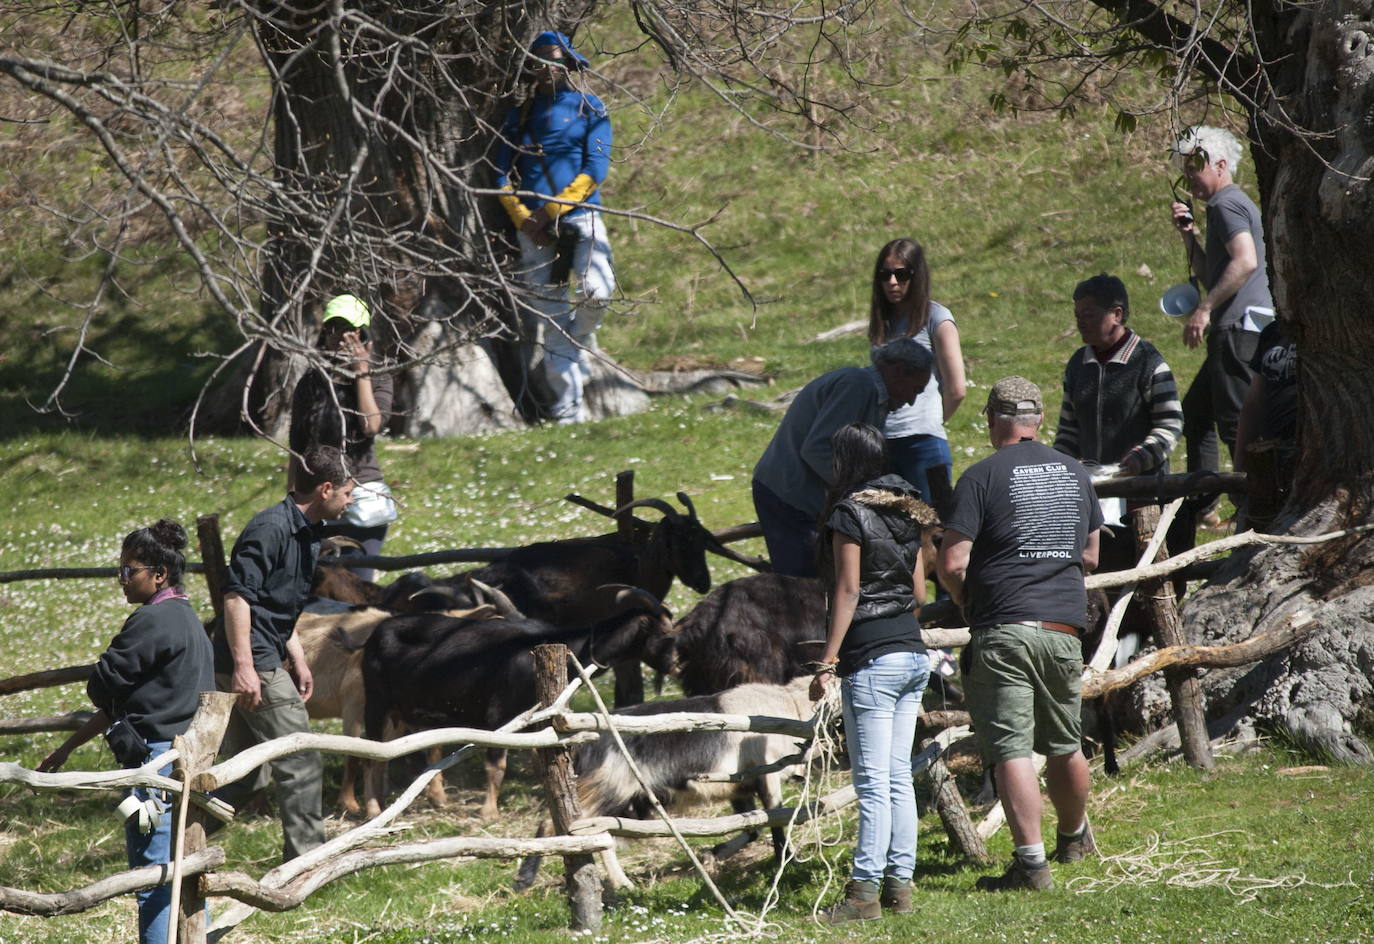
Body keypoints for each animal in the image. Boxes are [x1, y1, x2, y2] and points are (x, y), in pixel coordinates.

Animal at [357, 590, 673, 818]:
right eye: (661, 632)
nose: (674, 663)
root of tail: (375, 632)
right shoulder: (498, 716)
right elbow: (497, 766)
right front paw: (489, 813)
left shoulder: (537, 718)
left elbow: (539, 756)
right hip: (376, 701)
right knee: (370, 754)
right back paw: (372, 809)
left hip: (402, 710)